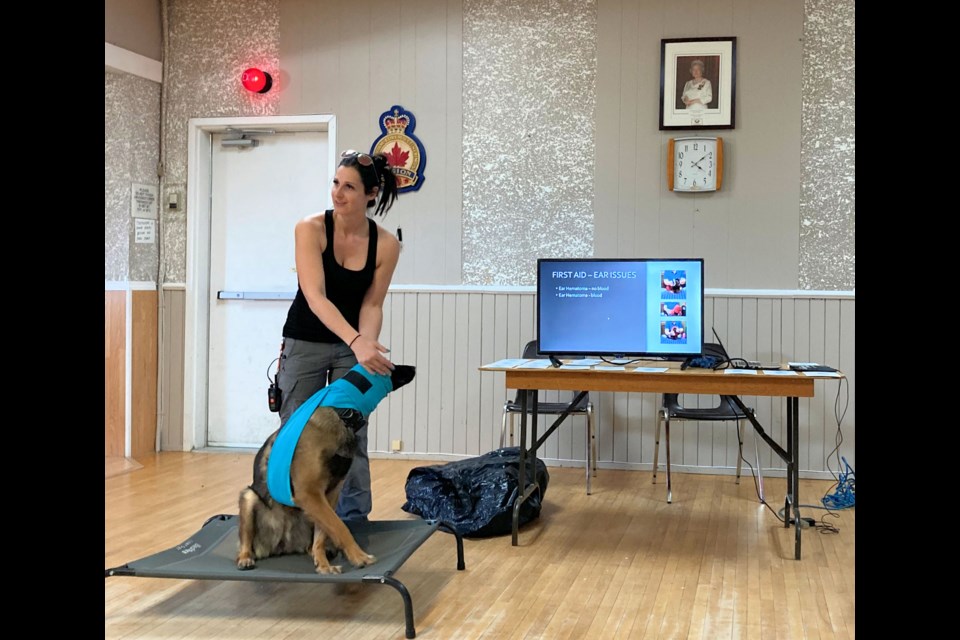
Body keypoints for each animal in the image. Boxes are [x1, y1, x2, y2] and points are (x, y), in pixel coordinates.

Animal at [235, 362, 412, 572]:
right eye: (392, 366)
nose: (413, 368)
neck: (342, 413)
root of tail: (282, 545)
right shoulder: (309, 493)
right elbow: (340, 527)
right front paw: (358, 556)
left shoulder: (328, 495)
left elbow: (325, 532)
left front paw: (325, 566)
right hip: (249, 497)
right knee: (245, 541)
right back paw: (245, 557)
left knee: (313, 541)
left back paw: (318, 554)